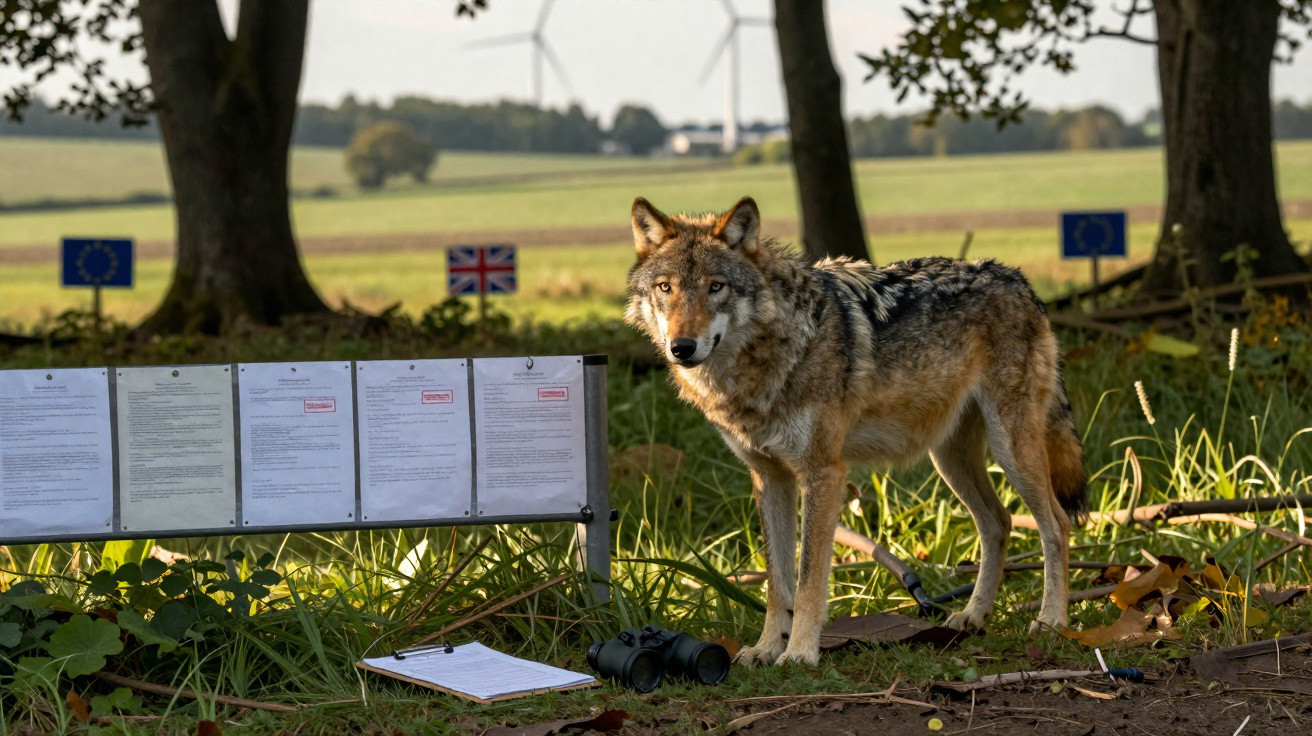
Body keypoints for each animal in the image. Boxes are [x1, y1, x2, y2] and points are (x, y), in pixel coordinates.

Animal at [624, 196, 1087, 666]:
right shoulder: (770, 478)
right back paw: (973, 616)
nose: (682, 347)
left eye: (716, 286)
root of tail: (1019, 280)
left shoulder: (823, 473)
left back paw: (1051, 620)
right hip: (951, 460)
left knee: (1057, 525)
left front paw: (799, 653)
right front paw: (767, 648)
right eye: (665, 288)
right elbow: (777, 582)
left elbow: (808, 579)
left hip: (1010, 449)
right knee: (999, 522)